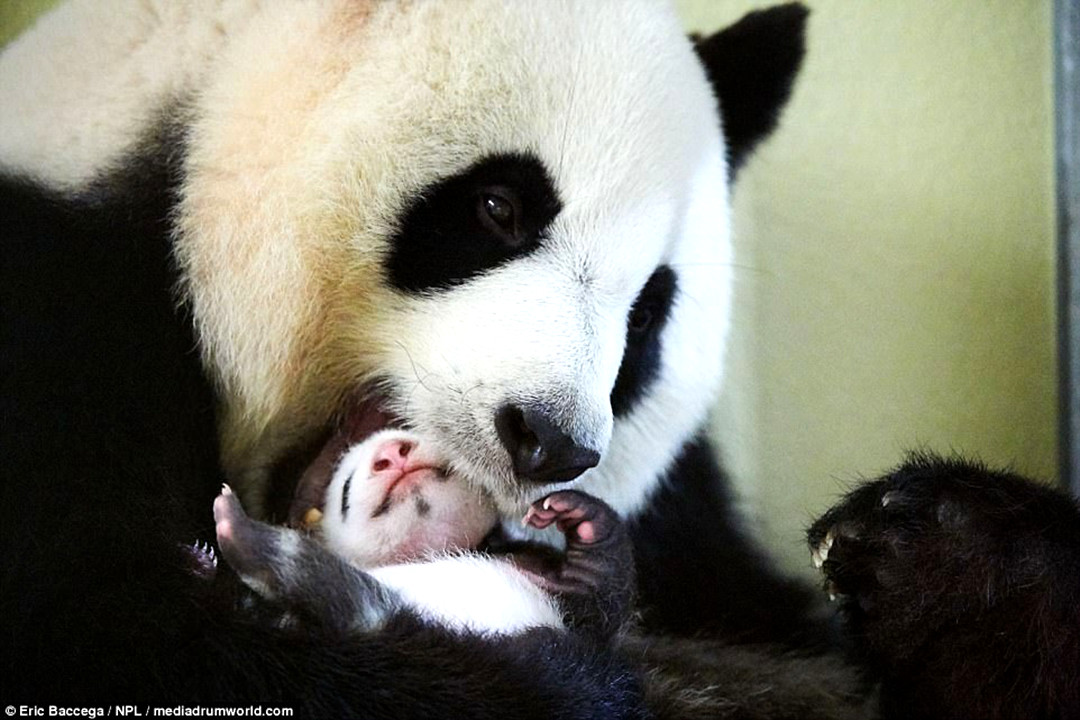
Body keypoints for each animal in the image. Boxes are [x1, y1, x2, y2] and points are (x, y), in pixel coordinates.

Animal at [4, 0, 1075, 716]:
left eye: (648, 313)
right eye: (498, 206)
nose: (549, 443)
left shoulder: (690, 531)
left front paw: (930, 552)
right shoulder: (63, 317)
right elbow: (127, 632)